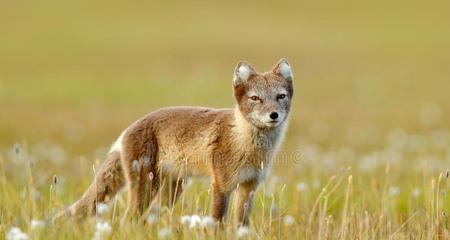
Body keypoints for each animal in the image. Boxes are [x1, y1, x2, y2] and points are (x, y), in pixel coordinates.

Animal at [57, 58, 296, 225]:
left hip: (171, 190)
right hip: (147, 187)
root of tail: (128, 129)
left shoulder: (249, 186)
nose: (273, 115)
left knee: (149, 217)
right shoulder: (221, 185)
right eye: (255, 98)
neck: (247, 145)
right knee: (128, 220)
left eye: (281, 96)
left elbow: (241, 225)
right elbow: (217, 223)